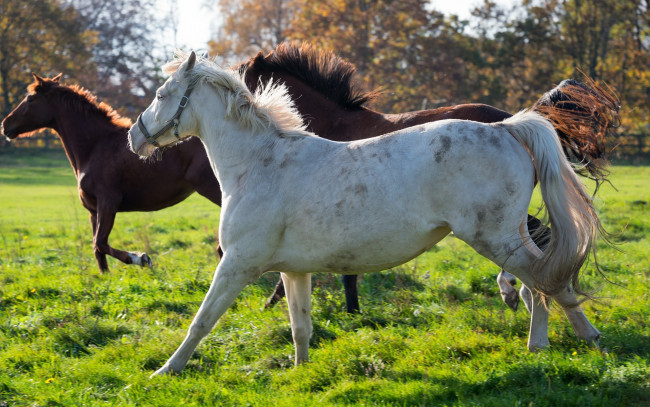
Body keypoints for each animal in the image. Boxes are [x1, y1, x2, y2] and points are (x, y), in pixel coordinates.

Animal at [128, 52, 604, 378]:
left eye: (161, 95)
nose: (135, 136)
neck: (258, 163)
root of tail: (506, 128)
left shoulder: (236, 265)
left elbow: (201, 322)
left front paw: (164, 371)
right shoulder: (293, 270)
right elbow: (300, 327)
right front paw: (301, 373)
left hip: (497, 240)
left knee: (547, 280)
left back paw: (582, 341)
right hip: (508, 237)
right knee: (541, 281)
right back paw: (542, 345)